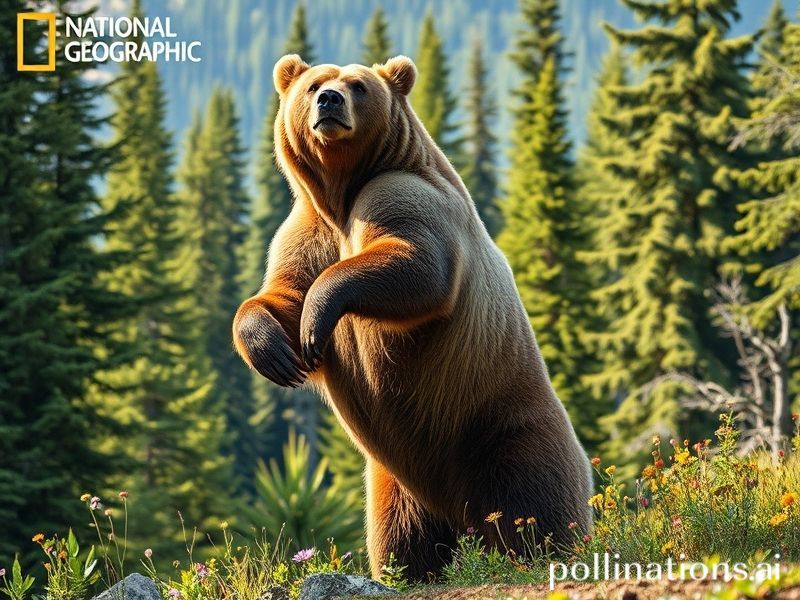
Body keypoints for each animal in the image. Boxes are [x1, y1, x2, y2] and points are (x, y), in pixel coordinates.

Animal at [233, 53, 593, 581]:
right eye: (314, 84)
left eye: (357, 85)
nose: (329, 102)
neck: (340, 193)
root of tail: (459, 509)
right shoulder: (307, 230)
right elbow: (283, 294)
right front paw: (276, 353)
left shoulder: (401, 193)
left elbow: (418, 262)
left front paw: (318, 316)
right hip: (395, 479)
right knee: (401, 535)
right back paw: (407, 570)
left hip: (500, 429)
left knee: (534, 504)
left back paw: (543, 549)